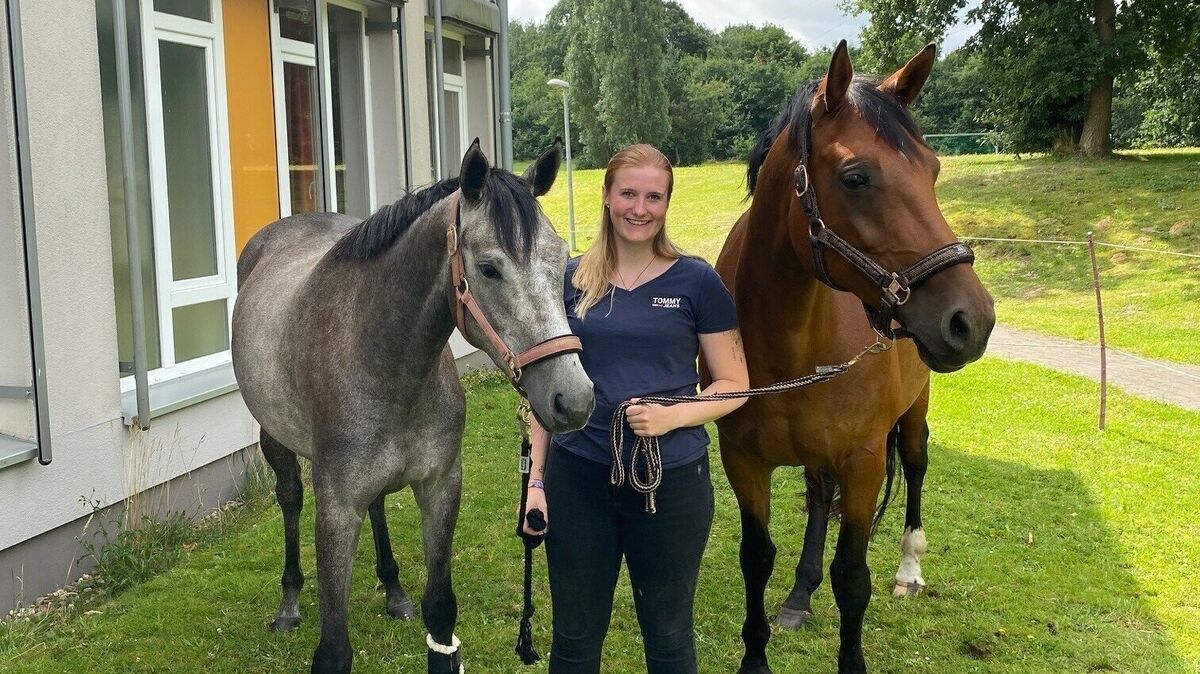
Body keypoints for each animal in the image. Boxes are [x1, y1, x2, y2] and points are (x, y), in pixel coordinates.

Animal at [231, 140, 595, 674]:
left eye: (561, 259)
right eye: (489, 268)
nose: (575, 398)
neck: (386, 359)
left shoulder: (441, 486)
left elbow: (440, 613)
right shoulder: (336, 508)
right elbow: (334, 649)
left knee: (378, 504)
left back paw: (393, 589)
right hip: (273, 439)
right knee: (290, 498)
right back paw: (290, 603)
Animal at [712, 42, 995, 674]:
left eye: (933, 170)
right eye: (856, 177)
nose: (973, 320)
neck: (786, 341)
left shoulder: (864, 462)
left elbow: (853, 577)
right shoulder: (742, 459)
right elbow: (755, 558)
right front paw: (757, 654)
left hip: (913, 412)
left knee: (915, 465)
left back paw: (909, 568)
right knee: (820, 496)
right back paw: (799, 593)